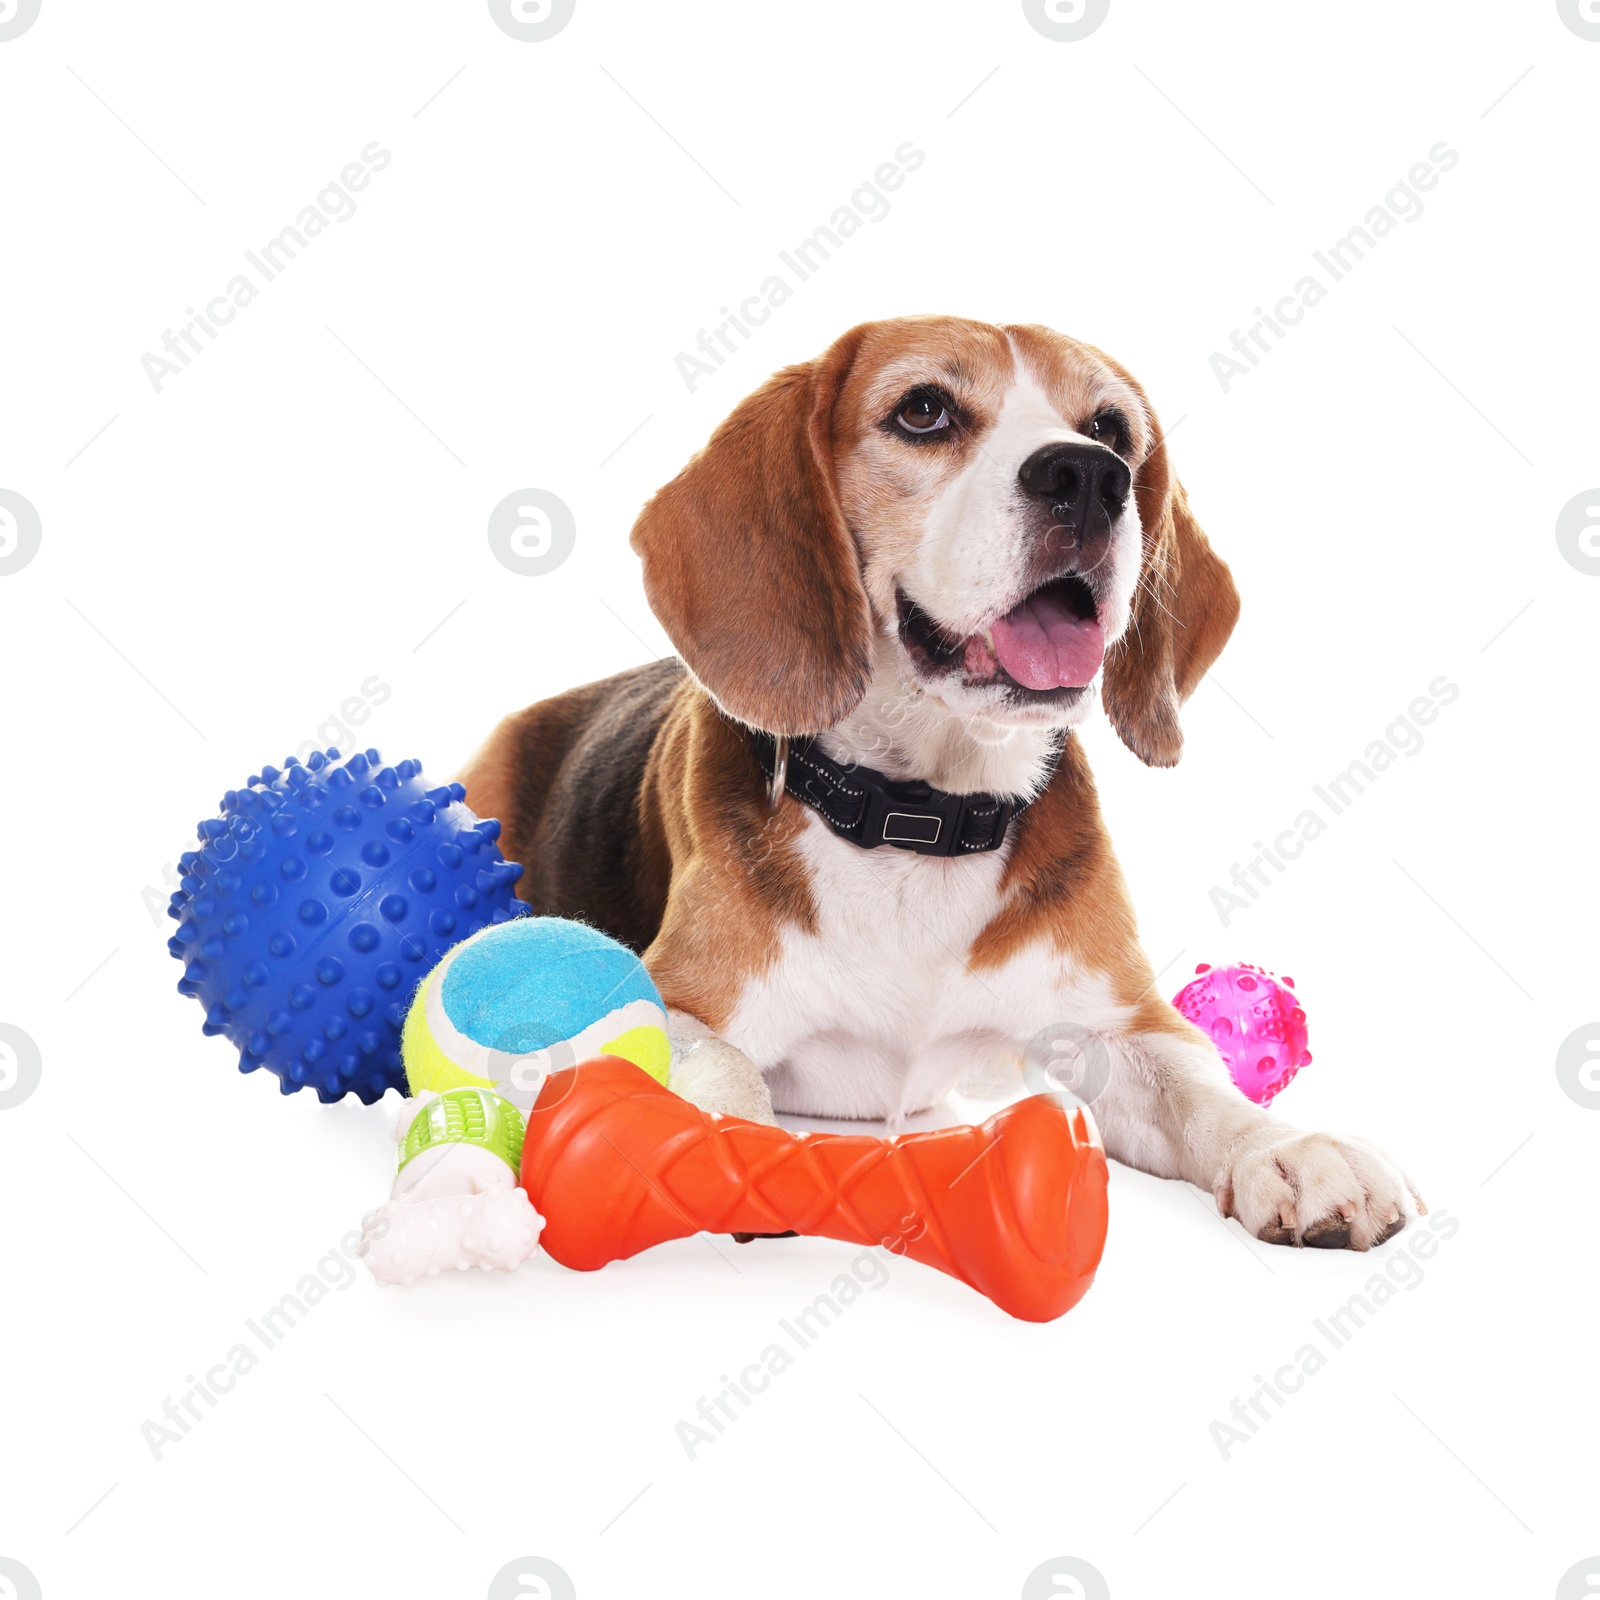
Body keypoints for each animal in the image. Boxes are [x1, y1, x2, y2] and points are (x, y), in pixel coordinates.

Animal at [464, 315, 1427, 1248]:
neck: (917, 817)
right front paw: (732, 1153)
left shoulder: (1121, 1023)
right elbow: (718, 1061)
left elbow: (1199, 1086)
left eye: (1112, 429)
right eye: (923, 411)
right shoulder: (678, 996)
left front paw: (1295, 1148)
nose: (1089, 475)